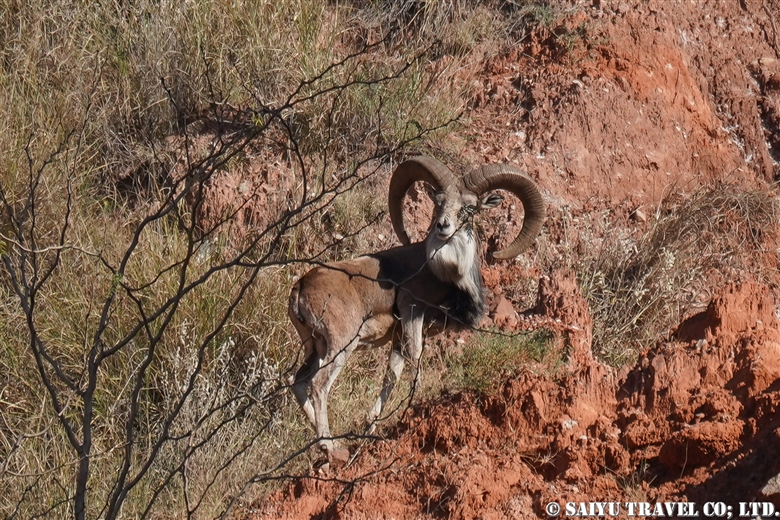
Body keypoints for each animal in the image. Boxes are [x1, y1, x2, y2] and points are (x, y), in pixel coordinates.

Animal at [286, 156, 544, 452]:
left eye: (469, 207)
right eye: (438, 201)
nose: (442, 226)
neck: (448, 275)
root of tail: (301, 286)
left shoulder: (398, 338)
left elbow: (391, 377)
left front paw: (372, 426)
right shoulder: (412, 313)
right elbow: (415, 362)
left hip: (314, 348)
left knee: (298, 382)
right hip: (340, 345)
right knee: (318, 385)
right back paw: (329, 447)